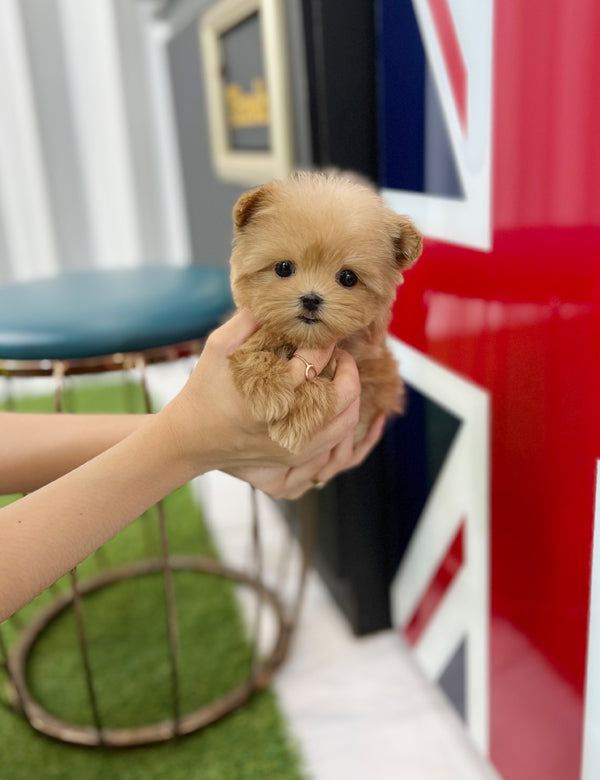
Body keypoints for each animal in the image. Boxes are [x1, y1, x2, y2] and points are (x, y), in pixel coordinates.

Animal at [229, 171, 422, 450]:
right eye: (284, 267)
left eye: (348, 278)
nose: (311, 299)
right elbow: (251, 353)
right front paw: (268, 389)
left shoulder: (375, 379)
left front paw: (298, 415)